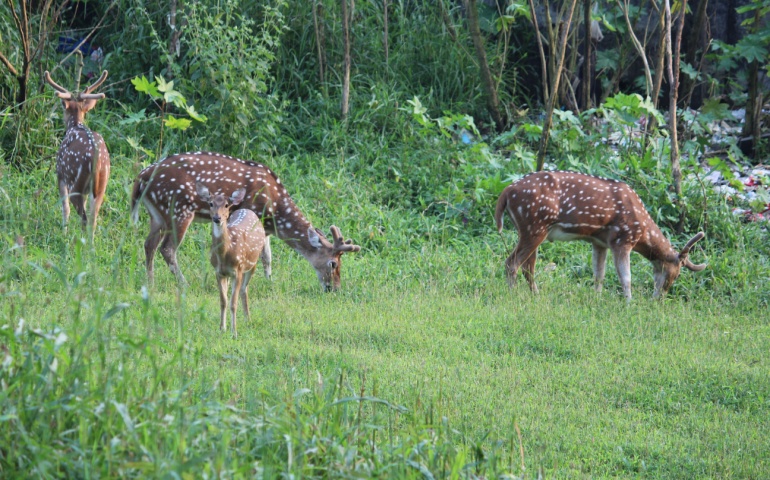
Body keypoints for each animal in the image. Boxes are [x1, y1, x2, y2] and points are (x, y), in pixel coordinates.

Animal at [45, 69, 110, 242]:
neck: (75, 125)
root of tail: (97, 161)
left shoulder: (60, 174)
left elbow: (65, 207)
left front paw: (64, 232)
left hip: (76, 183)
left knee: (84, 218)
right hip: (101, 186)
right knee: (93, 218)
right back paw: (90, 245)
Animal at [130, 152, 362, 290]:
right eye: (333, 263)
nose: (335, 288)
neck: (276, 212)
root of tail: (141, 177)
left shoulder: (265, 227)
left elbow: (267, 256)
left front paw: (270, 282)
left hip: (157, 214)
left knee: (149, 244)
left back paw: (149, 282)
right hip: (179, 208)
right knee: (167, 248)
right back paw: (183, 283)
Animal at [196, 184, 266, 338]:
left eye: (226, 205)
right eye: (211, 203)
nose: (217, 218)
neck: (225, 253)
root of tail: (247, 210)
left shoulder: (237, 270)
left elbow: (233, 303)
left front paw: (234, 332)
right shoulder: (218, 272)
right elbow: (223, 301)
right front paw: (222, 328)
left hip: (253, 262)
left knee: (244, 289)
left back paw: (248, 320)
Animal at [496, 172, 704, 298]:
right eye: (676, 273)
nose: (659, 298)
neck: (642, 231)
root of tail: (506, 192)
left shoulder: (599, 242)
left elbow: (599, 274)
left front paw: (597, 297)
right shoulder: (622, 239)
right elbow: (626, 277)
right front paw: (629, 303)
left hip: (533, 230)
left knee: (527, 266)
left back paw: (536, 295)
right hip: (533, 227)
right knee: (512, 263)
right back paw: (513, 294)